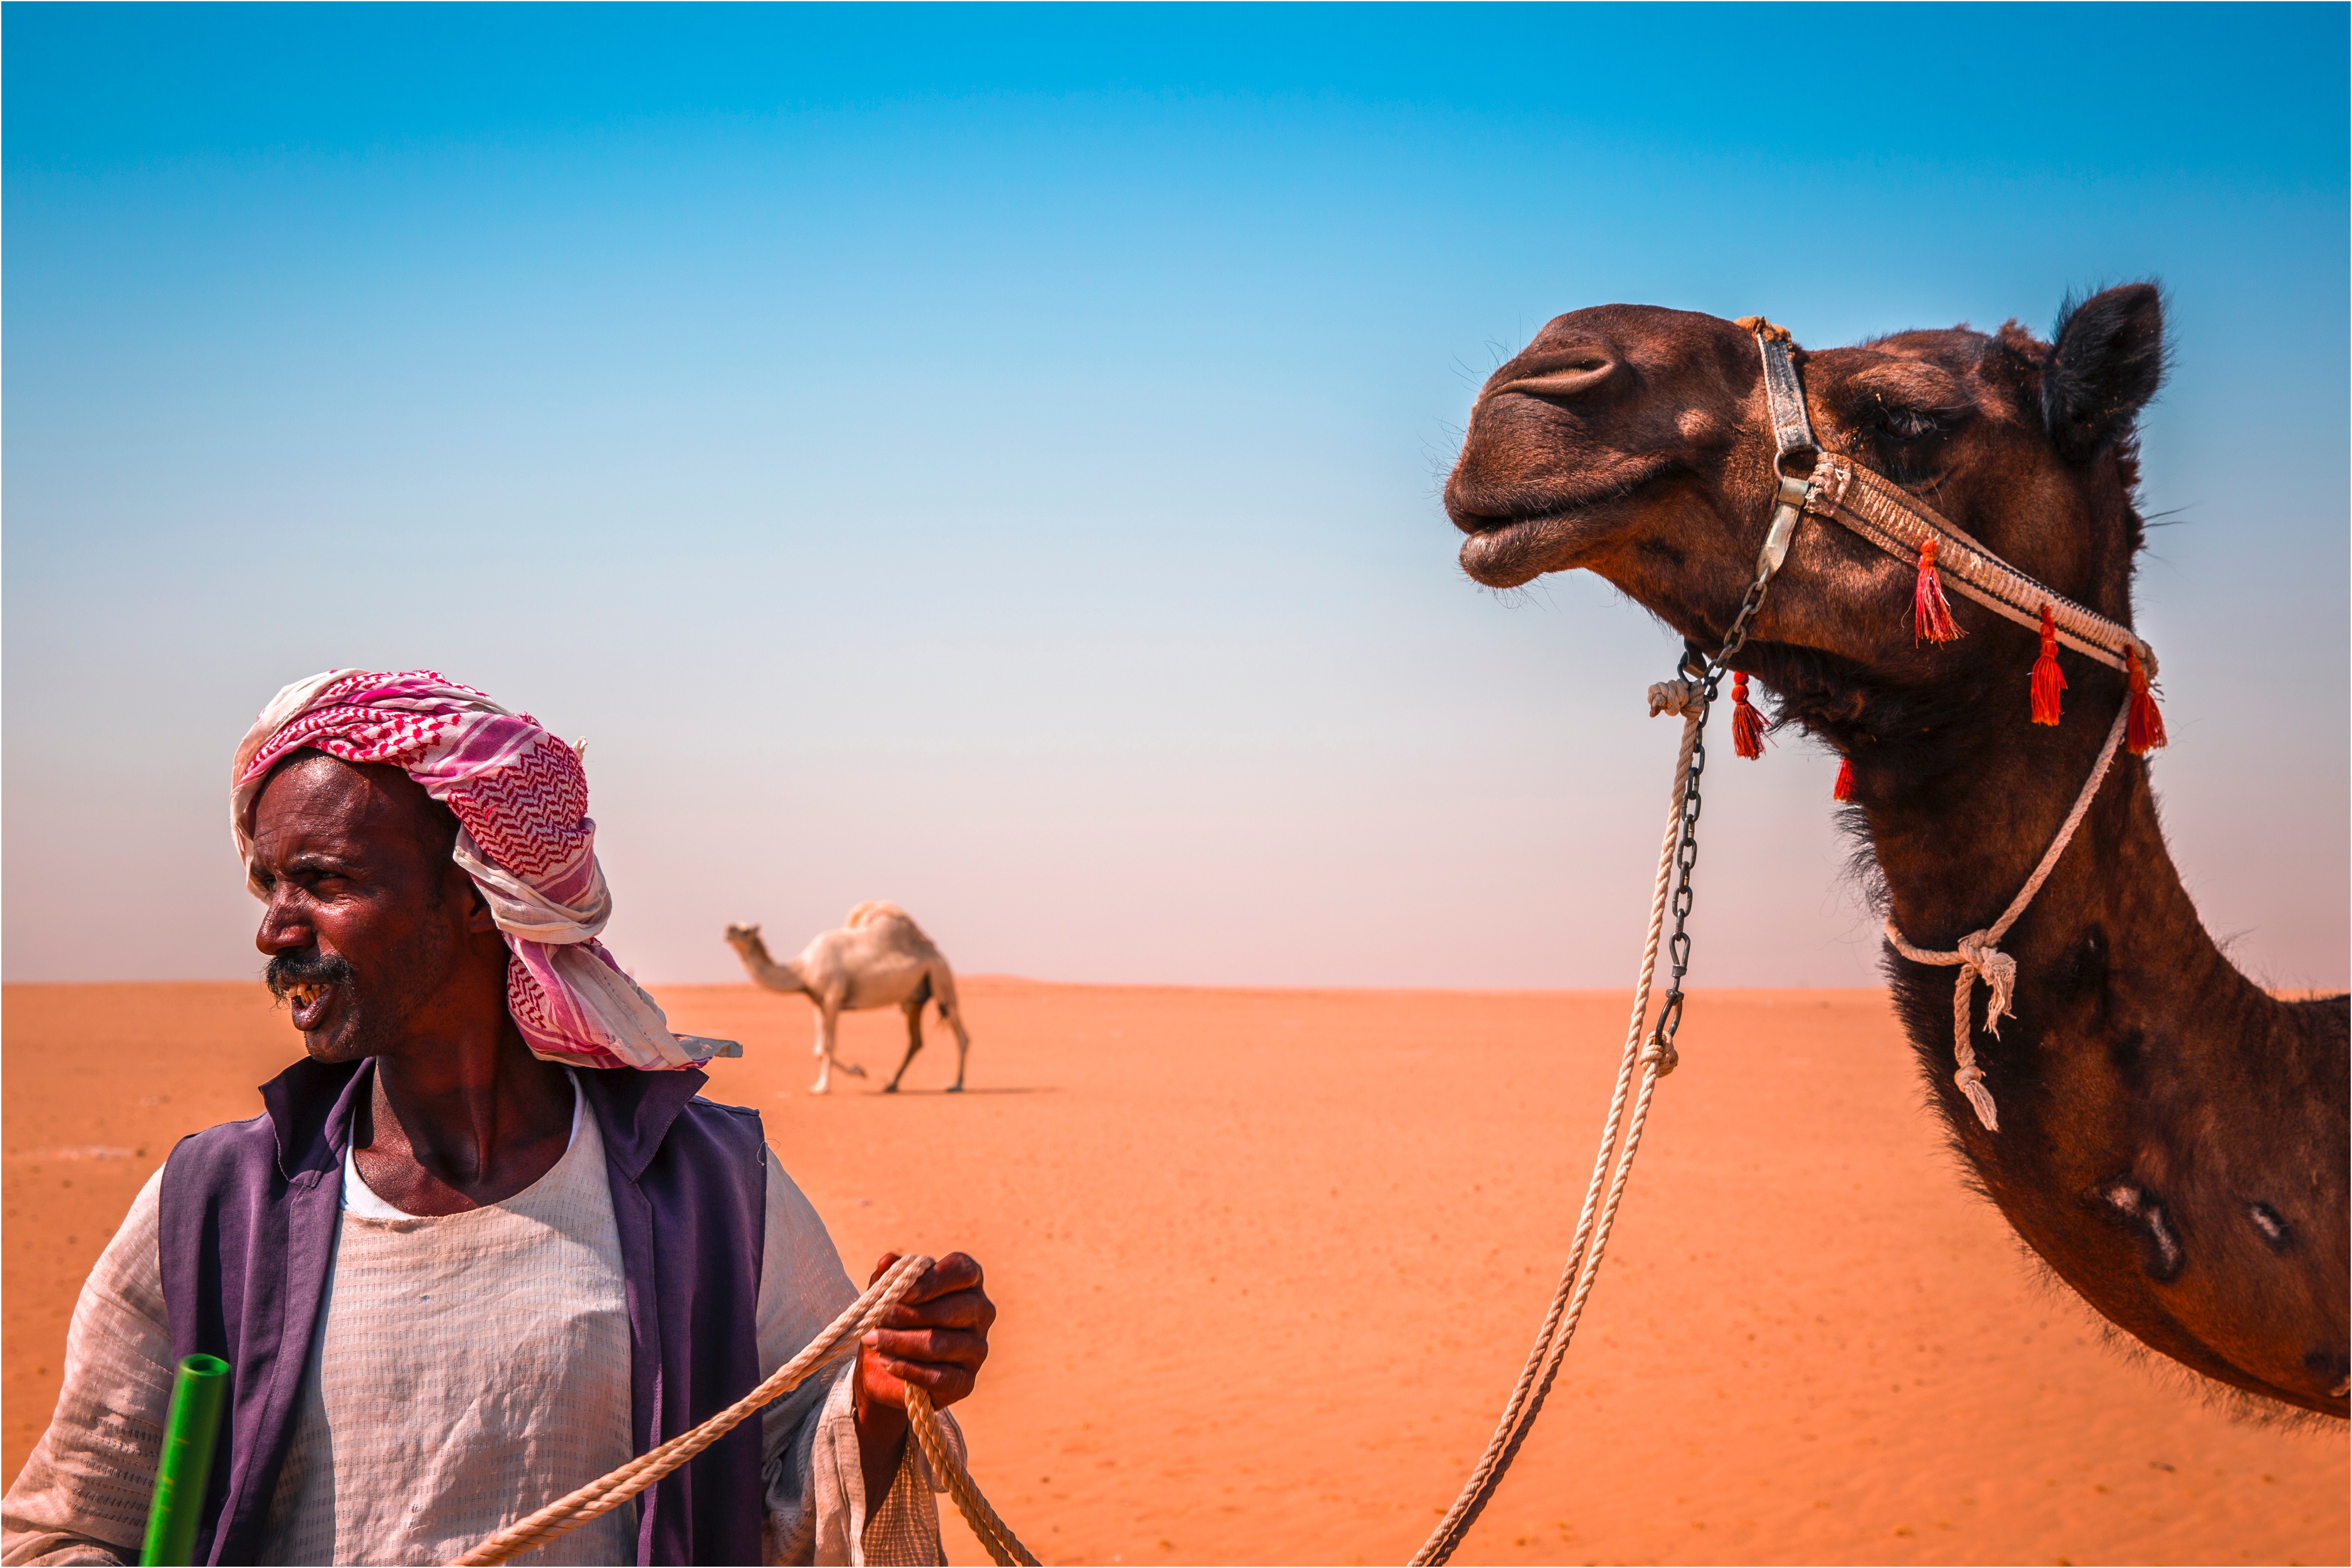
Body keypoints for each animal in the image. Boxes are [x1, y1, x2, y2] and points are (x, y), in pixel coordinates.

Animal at [720, 902, 969, 1100]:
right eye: (736, 927)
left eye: (746, 930)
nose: (728, 929)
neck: (803, 971)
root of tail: (935, 951)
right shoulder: (818, 1002)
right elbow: (818, 1049)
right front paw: (849, 1074)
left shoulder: (833, 998)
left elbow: (828, 1046)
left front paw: (826, 1087)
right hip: (915, 999)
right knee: (916, 1041)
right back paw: (892, 1084)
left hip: (941, 979)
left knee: (961, 1034)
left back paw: (956, 1085)